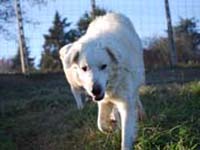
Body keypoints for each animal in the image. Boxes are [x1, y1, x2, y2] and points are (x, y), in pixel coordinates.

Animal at [60, 12, 145, 150]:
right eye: (84, 68)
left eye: (104, 66)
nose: (95, 90)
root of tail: (112, 14)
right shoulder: (104, 100)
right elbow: (101, 124)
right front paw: (112, 126)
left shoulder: (126, 101)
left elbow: (126, 135)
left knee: (136, 97)